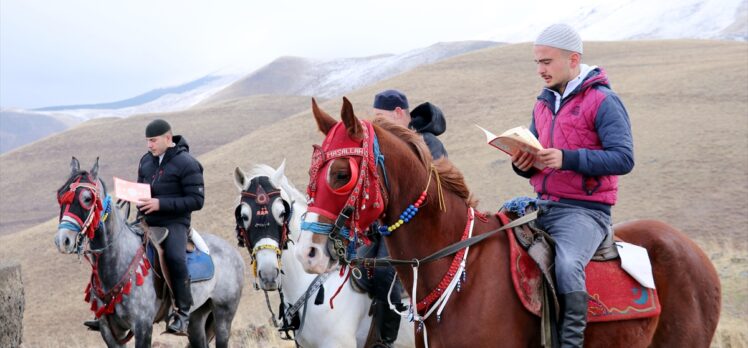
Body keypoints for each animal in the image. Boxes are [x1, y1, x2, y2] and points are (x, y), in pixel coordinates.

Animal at [54, 158, 245, 348]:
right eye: (60, 195)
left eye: (87, 198)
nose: (62, 241)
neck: (117, 262)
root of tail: (233, 252)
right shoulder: (110, 331)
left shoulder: (142, 326)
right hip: (197, 317)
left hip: (223, 314)